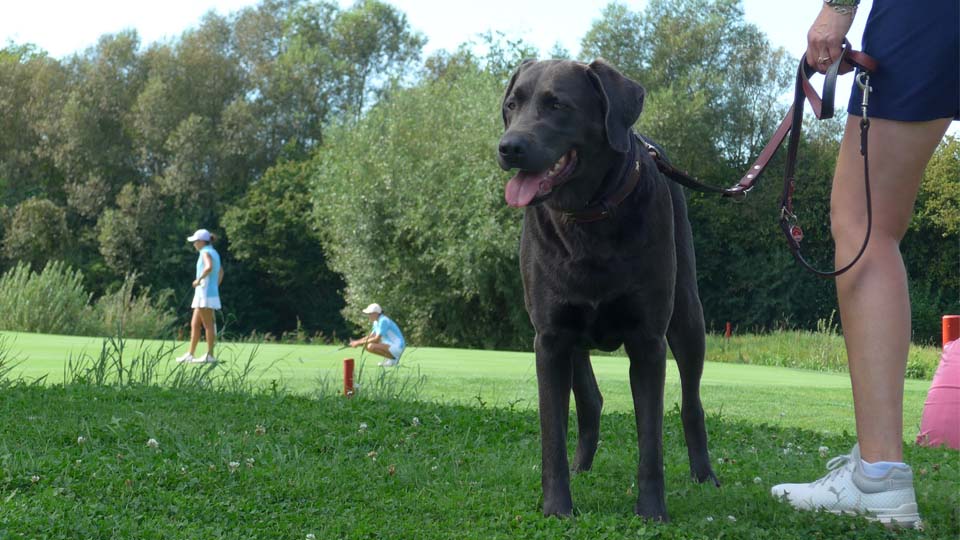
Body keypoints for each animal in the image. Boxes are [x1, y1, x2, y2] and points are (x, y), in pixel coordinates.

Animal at [498, 60, 716, 524]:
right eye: (512, 104)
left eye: (557, 105)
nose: (509, 147)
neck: (587, 219)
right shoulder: (550, 337)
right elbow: (552, 436)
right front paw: (557, 508)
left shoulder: (648, 340)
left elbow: (651, 440)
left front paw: (652, 511)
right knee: (590, 400)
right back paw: (582, 465)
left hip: (688, 314)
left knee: (691, 402)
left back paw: (705, 474)